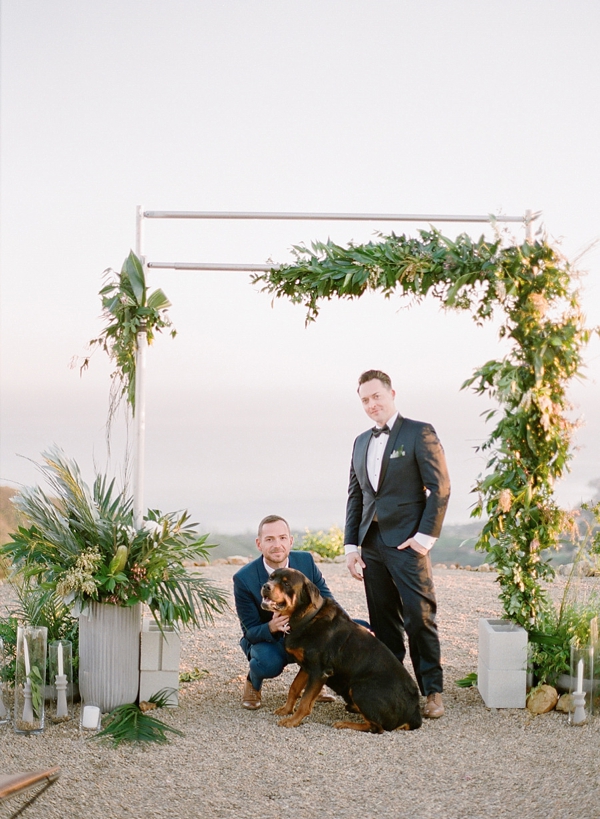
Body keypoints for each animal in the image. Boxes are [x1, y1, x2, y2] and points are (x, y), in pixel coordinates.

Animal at [262, 568, 422, 732]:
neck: (307, 618)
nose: (266, 586)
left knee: (376, 727)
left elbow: (305, 701)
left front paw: (293, 721)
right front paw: (286, 710)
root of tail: (414, 712)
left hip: (360, 688)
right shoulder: (306, 667)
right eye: (271, 577)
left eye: (286, 583)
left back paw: (345, 724)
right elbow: (294, 688)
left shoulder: (319, 671)